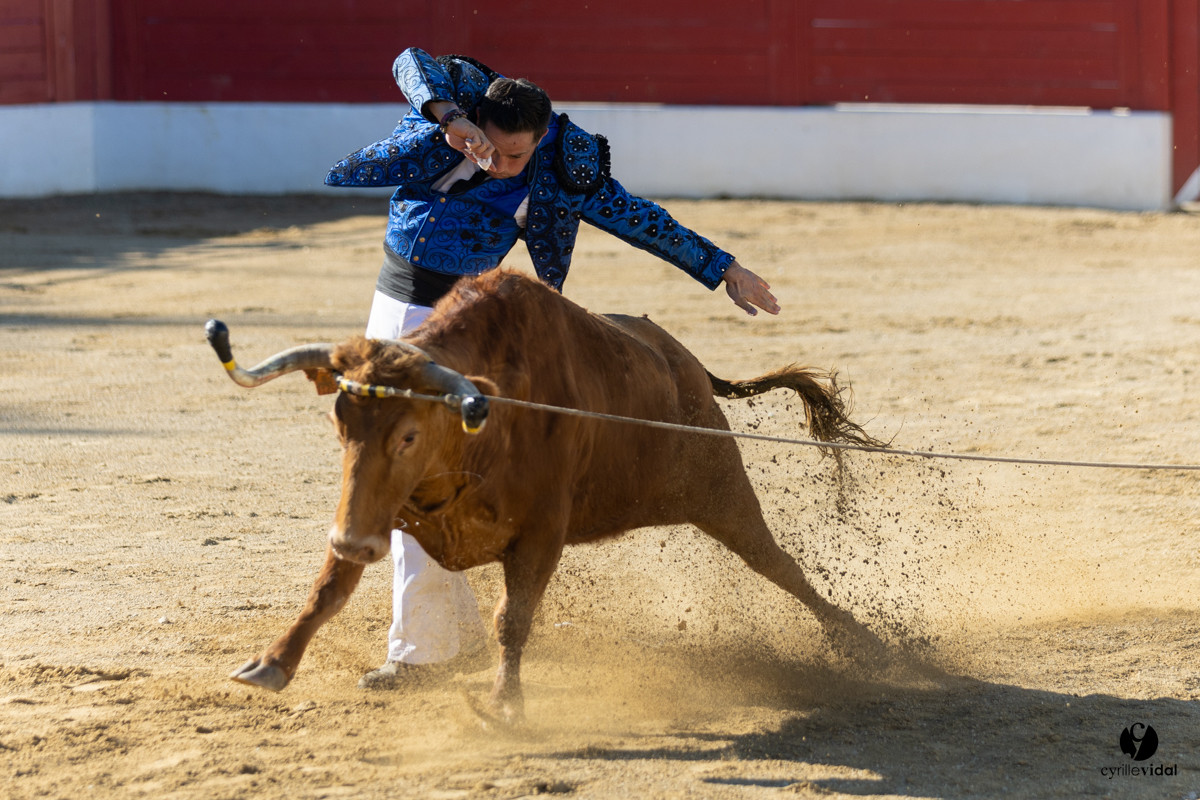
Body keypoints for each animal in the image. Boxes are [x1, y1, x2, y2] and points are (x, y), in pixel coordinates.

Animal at [205, 268, 884, 722]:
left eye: (409, 435)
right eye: (339, 423)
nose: (354, 539)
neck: (486, 421)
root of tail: (685, 363)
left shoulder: (540, 532)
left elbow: (513, 617)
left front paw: (505, 706)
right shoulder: (377, 506)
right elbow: (331, 585)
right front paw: (271, 664)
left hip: (719, 486)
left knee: (778, 564)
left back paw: (866, 645)